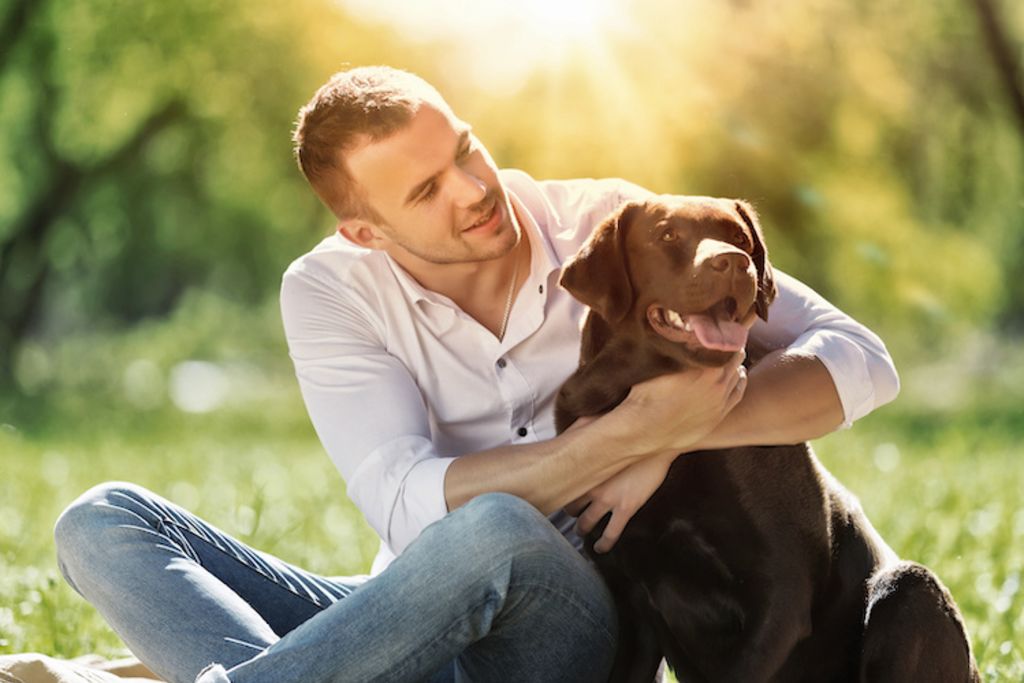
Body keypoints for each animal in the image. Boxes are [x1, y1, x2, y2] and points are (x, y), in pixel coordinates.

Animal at [557, 197, 978, 683]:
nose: (733, 262)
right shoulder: (630, 601)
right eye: (666, 235)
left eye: (740, 239)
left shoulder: (780, 592)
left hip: (910, 590)